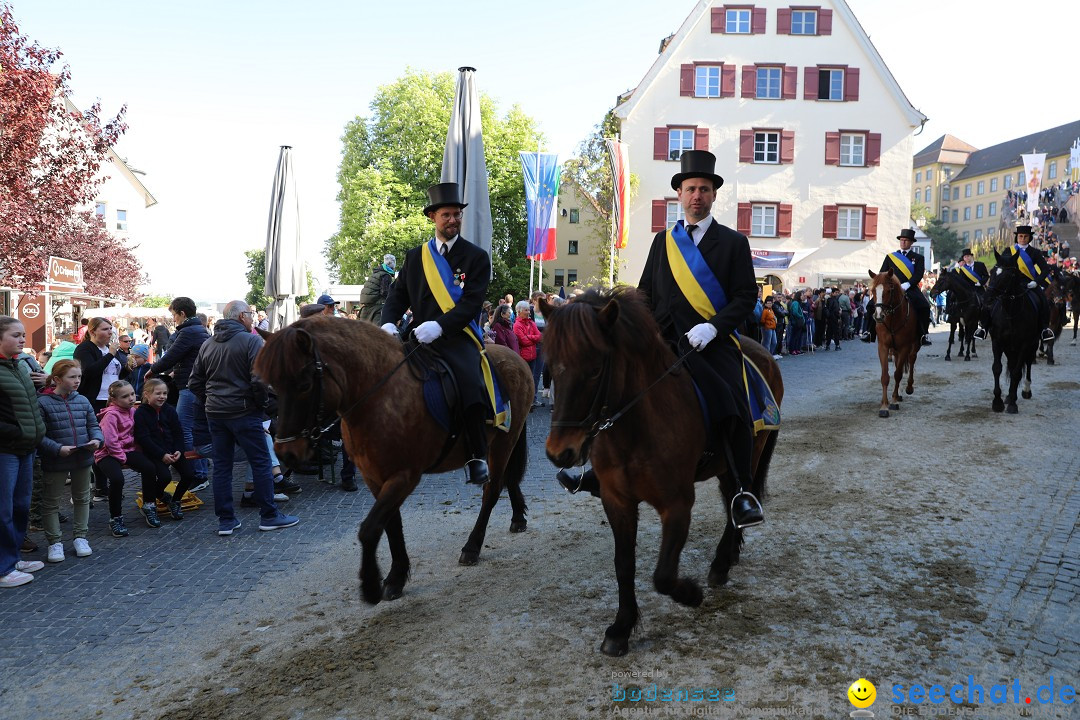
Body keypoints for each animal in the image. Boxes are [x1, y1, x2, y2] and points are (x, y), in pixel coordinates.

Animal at [254, 317, 537, 604]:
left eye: (304, 385)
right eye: (272, 386)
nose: (285, 453)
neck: (379, 398)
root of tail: (515, 357)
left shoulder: (405, 476)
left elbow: (369, 529)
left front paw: (371, 584)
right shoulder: (375, 477)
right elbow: (391, 524)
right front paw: (396, 576)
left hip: (503, 441)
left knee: (493, 489)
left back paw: (472, 546)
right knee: (508, 479)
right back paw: (517, 517)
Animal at [540, 289, 786, 660]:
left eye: (596, 369)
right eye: (550, 366)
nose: (560, 453)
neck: (635, 429)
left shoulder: (677, 504)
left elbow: (663, 575)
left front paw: (691, 594)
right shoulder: (617, 501)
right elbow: (624, 564)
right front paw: (621, 628)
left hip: (749, 451)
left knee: (739, 496)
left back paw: (721, 563)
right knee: (730, 496)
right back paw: (729, 555)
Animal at [864, 268, 924, 416]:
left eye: (888, 291)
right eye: (873, 291)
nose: (879, 316)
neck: (892, 319)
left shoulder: (904, 347)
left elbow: (898, 374)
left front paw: (893, 402)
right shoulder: (883, 347)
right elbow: (885, 376)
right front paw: (884, 406)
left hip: (914, 346)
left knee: (911, 361)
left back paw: (907, 388)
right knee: (899, 364)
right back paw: (898, 394)